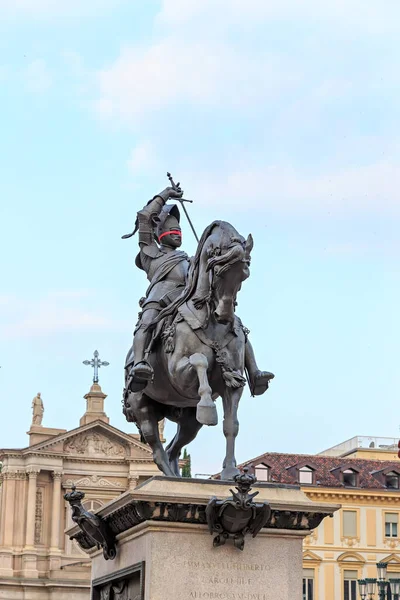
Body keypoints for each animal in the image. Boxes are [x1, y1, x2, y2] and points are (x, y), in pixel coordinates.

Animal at [123, 220, 256, 478]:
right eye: (219, 271)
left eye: (244, 274)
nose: (225, 315)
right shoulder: (178, 373)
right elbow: (199, 361)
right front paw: (207, 406)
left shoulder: (233, 383)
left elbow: (231, 426)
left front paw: (230, 471)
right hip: (142, 407)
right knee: (157, 449)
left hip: (188, 421)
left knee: (173, 449)